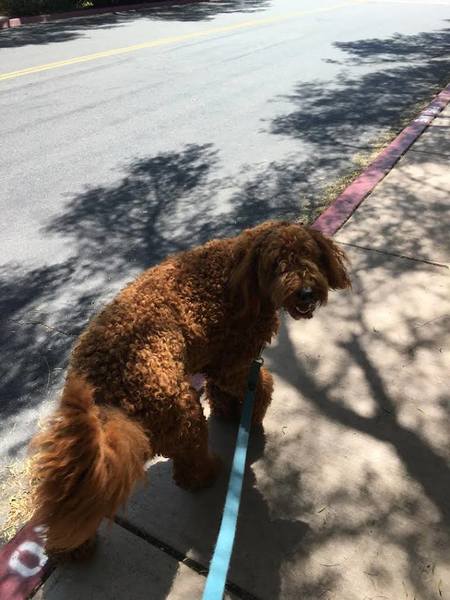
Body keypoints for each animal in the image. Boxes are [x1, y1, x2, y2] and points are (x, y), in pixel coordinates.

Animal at [29, 220, 351, 555]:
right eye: (276, 264)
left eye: (309, 254)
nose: (306, 292)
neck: (240, 272)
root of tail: (103, 395)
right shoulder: (236, 363)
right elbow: (260, 386)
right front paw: (252, 418)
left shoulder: (218, 358)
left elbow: (220, 390)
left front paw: (227, 412)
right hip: (183, 413)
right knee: (188, 469)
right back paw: (209, 473)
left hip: (93, 456)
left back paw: (73, 549)